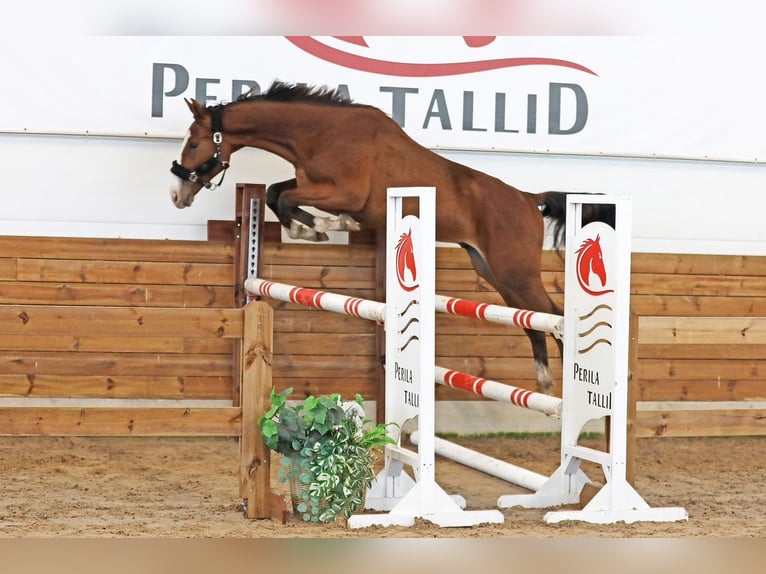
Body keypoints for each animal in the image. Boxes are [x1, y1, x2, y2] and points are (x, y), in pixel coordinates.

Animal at [169, 80, 614, 395]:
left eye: (194, 143)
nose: (176, 194)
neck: (320, 132)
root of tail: (527, 198)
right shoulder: (312, 183)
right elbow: (278, 194)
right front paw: (310, 228)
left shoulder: (345, 193)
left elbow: (290, 198)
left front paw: (327, 227)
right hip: (494, 272)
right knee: (536, 320)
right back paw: (545, 382)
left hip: (515, 271)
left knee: (554, 316)